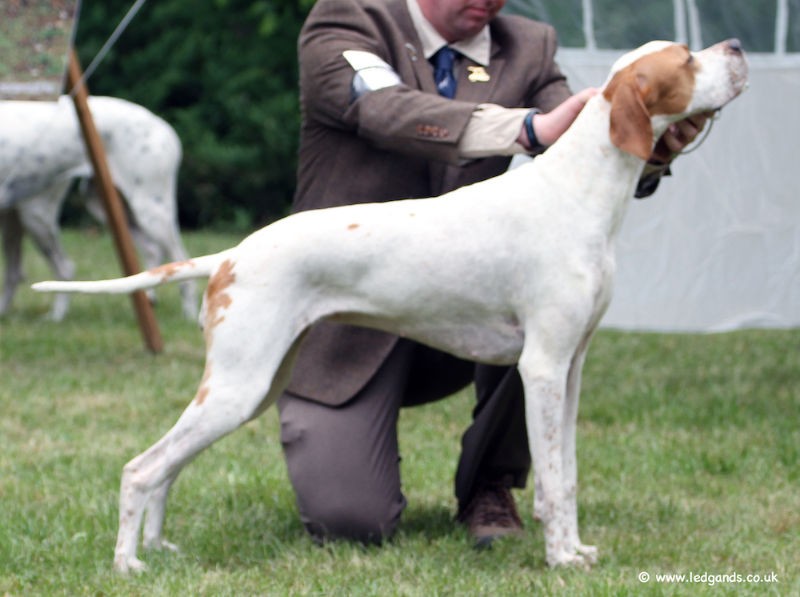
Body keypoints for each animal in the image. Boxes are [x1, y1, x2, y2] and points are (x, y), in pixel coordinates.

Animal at [34, 39, 748, 572]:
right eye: (686, 60)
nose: (736, 46)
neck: (579, 192)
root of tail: (234, 253)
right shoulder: (541, 366)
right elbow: (551, 478)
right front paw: (560, 562)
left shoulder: (570, 369)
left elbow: (564, 476)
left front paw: (575, 550)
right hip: (239, 387)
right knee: (141, 469)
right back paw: (128, 563)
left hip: (249, 389)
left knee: (167, 469)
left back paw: (157, 548)